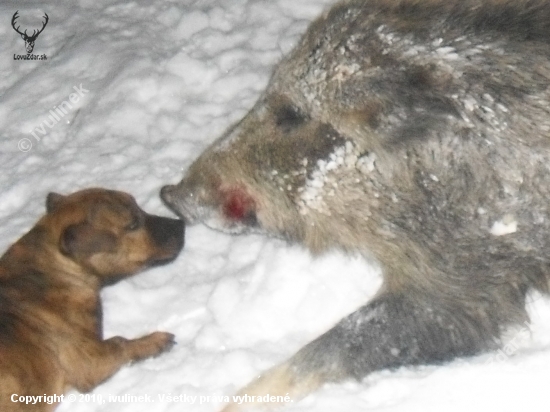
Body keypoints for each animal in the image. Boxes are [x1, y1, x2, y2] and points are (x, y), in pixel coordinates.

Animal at [0, 188, 185, 410]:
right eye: (133, 224)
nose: (181, 225)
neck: (55, 265)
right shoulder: (90, 360)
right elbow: (120, 342)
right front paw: (153, 341)